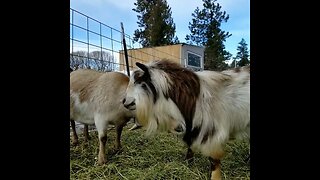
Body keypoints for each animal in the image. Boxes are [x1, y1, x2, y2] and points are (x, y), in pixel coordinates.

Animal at [122, 59, 250, 179]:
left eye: (142, 83)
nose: (126, 103)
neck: (194, 97)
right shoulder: (190, 128)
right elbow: (190, 147)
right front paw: (188, 164)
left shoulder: (211, 133)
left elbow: (214, 160)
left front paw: (215, 177)